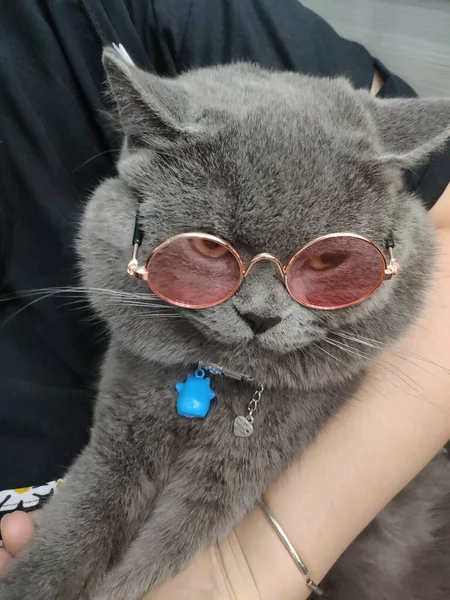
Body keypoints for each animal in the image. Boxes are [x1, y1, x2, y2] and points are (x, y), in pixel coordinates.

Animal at [0, 50, 450, 600]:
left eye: (328, 260)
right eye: (208, 248)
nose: (261, 315)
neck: (215, 383)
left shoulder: (242, 466)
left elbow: (165, 549)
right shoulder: (120, 428)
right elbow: (80, 520)